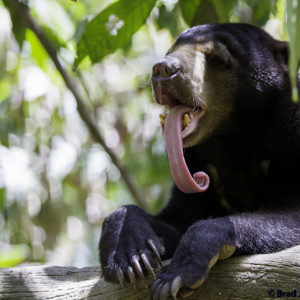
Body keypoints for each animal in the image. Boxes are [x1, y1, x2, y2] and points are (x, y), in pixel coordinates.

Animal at [99, 22, 300, 298]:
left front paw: (177, 274)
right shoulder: (197, 162)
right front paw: (132, 255)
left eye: (217, 59)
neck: (234, 137)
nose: (162, 69)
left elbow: (290, 213)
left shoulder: (290, 136)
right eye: (171, 50)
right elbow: (177, 218)